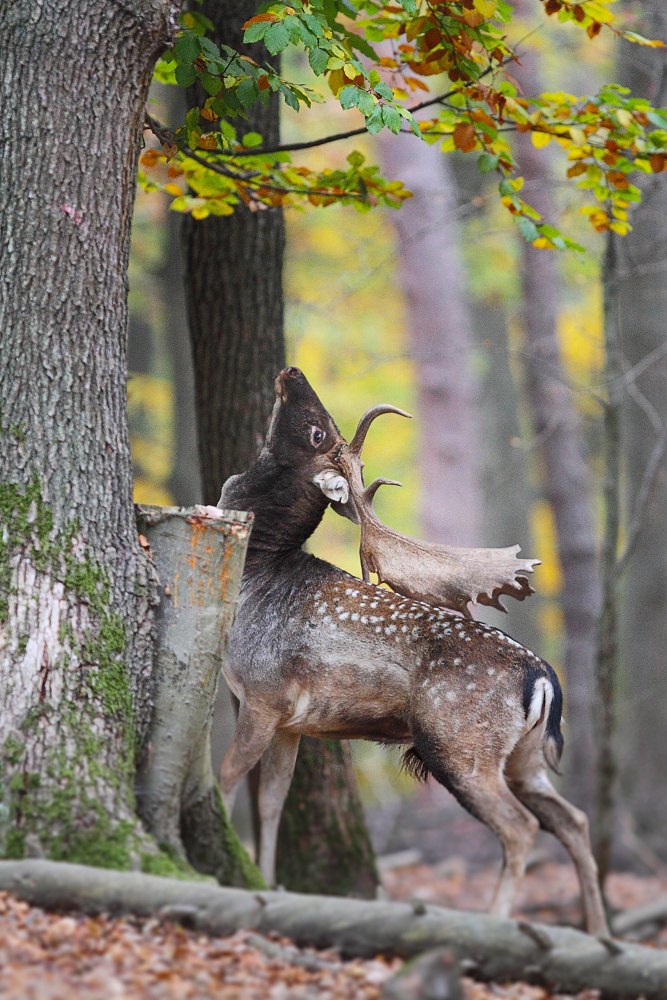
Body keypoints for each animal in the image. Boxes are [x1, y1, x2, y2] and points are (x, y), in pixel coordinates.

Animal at [200, 366, 609, 937]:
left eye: (316, 432)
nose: (292, 371)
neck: (253, 576)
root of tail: (545, 676)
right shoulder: (288, 722)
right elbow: (272, 802)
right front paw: (266, 882)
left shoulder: (262, 694)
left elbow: (228, 778)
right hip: (522, 757)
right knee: (573, 820)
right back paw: (599, 931)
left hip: (459, 746)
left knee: (521, 827)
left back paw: (495, 924)